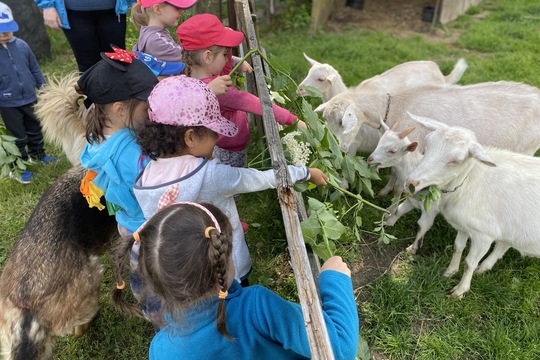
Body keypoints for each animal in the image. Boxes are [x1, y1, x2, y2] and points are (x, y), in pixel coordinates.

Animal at [404, 113, 540, 298]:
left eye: (456, 161)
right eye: (427, 144)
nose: (410, 183)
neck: (468, 182)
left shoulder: (484, 235)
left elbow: (469, 263)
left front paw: (459, 291)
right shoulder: (463, 226)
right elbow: (457, 248)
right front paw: (450, 272)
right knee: (504, 243)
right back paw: (484, 268)